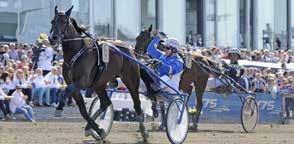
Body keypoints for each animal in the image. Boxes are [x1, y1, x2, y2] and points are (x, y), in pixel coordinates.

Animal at [49, 6, 148, 140]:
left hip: (131, 80)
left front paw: (59, 108)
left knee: (137, 104)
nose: (52, 38)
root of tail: (129, 50)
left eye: (64, 22)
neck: (76, 53)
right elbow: (82, 109)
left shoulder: (82, 82)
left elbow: (67, 90)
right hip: (99, 84)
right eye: (52, 22)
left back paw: (144, 132)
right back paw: (91, 128)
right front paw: (98, 129)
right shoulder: (74, 84)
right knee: (105, 103)